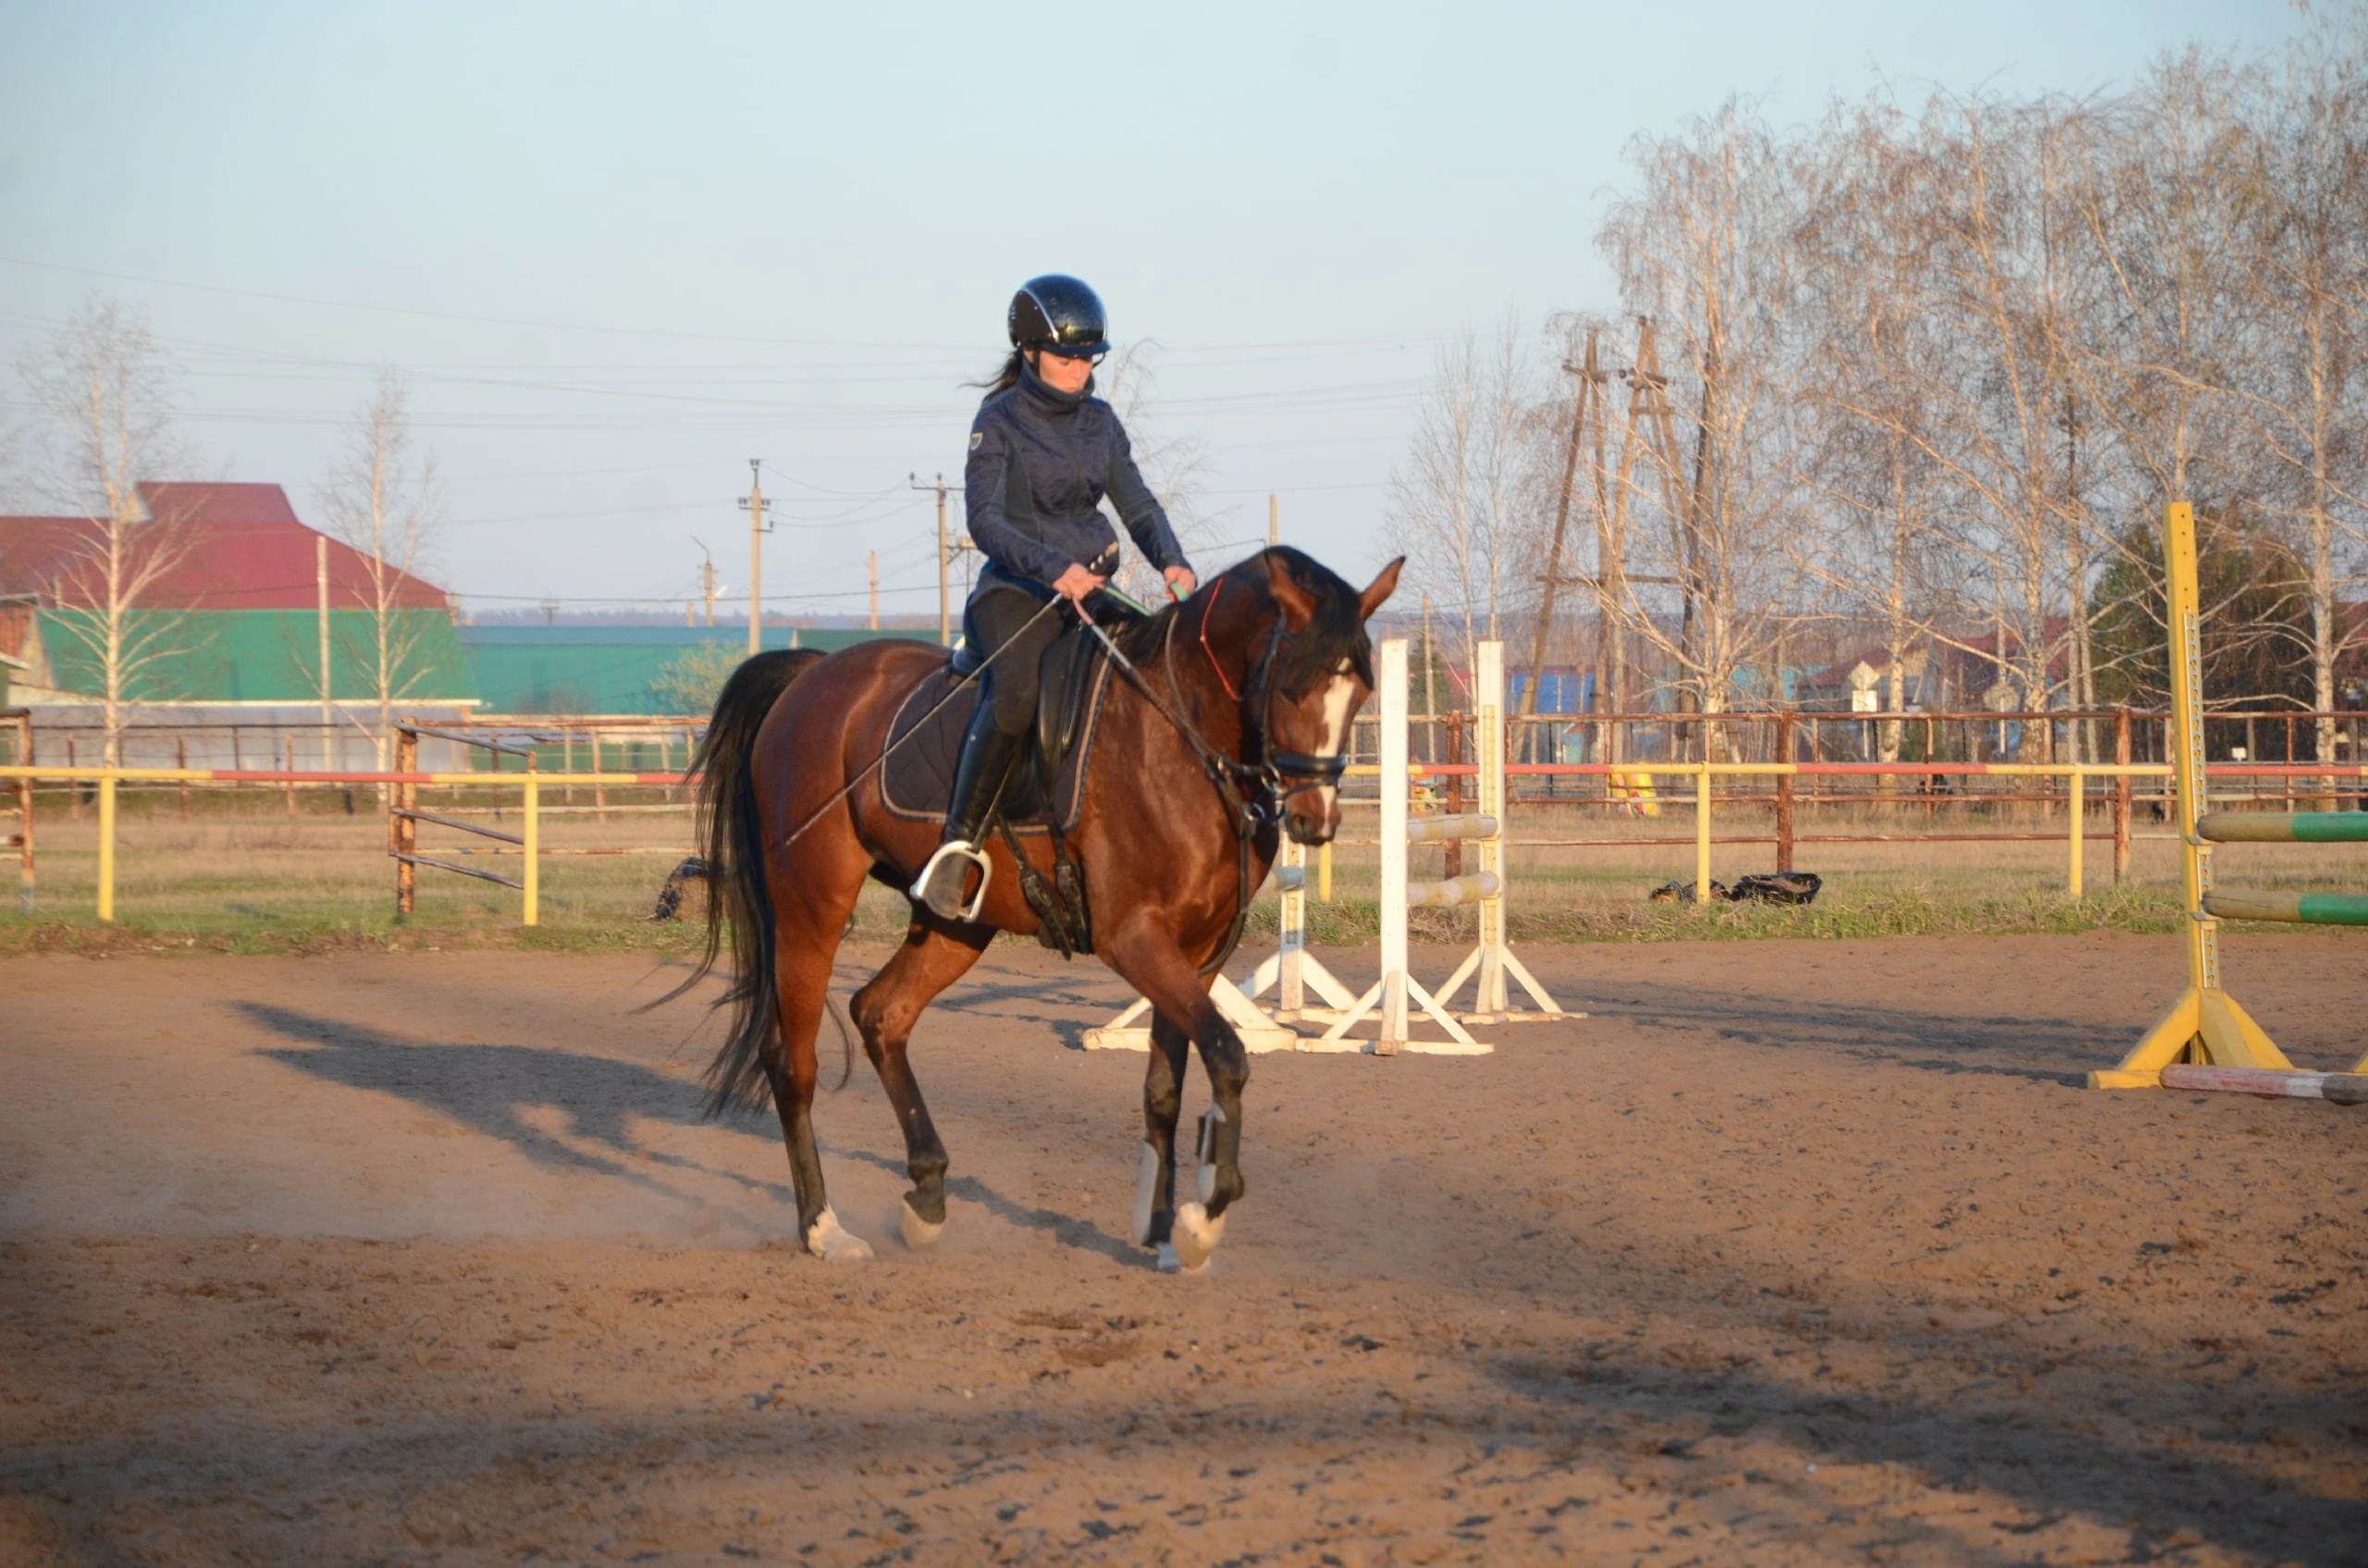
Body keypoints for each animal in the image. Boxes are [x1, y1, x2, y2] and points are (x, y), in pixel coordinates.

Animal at [677, 551, 1392, 1278]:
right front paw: (1202, 1218)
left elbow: (1165, 1087)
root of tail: (812, 676)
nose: (1314, 820)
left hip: (958, 925)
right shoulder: (1135, 939)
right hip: (811, 908)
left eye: (1361, 692)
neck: (1179, 734)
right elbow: (1228, 1056)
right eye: (1293, 689)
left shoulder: (1197, 953)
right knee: (794, 1064)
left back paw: (927, 1196)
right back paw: (824, 1229)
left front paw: (1162, 1227)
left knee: (881, 1014)